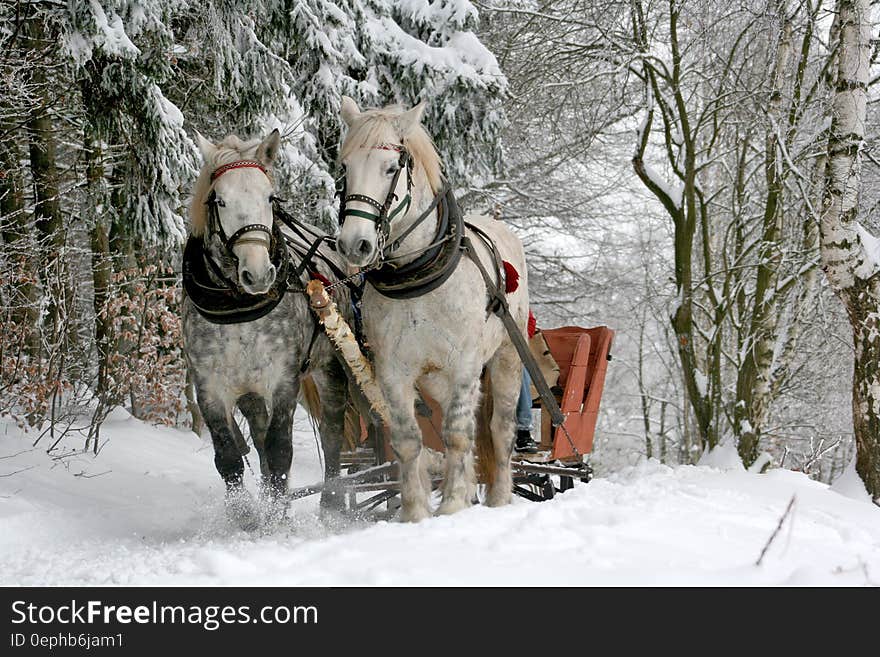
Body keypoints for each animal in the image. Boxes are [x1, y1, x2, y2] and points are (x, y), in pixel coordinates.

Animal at [336, 97, 528, 520]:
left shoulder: (465, 365)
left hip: (506, 357)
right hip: (436, 379)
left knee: (498, 429)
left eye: (391, 168)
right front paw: (416, 512)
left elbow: (457, 434)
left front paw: (453, 504)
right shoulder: (393, 371)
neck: (417, 275)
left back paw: (499, 497)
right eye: (345, 168)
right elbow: (409, 439)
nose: (354, 244)